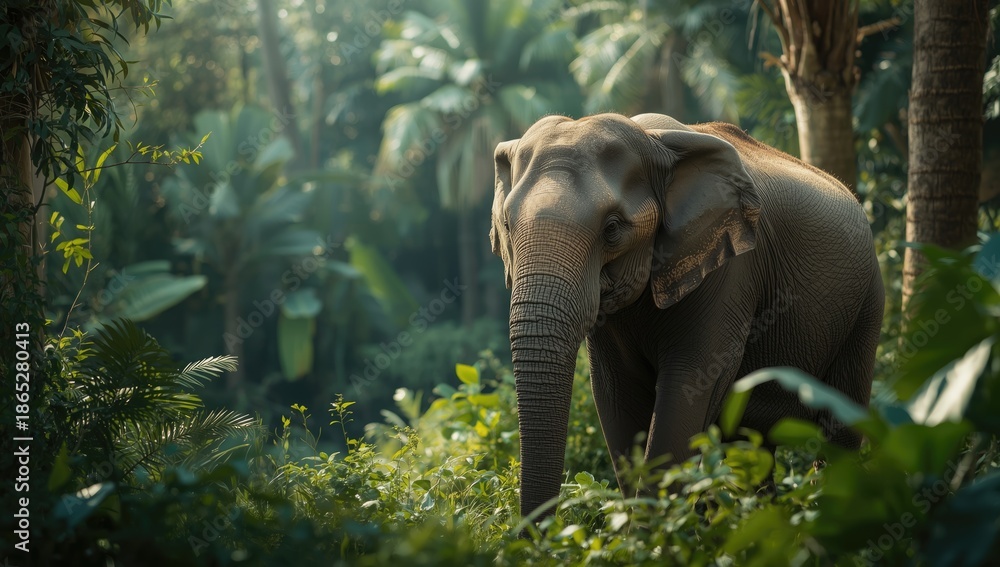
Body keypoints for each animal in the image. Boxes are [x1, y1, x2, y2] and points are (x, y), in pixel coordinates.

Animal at [489, 113, 884, 518]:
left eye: (612, 229)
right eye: (506, 225)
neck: (653, 141)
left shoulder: (731, 271)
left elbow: (689, 387)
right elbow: (616, 397)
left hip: (867, 303)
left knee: (840, 429)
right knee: (751, 449)